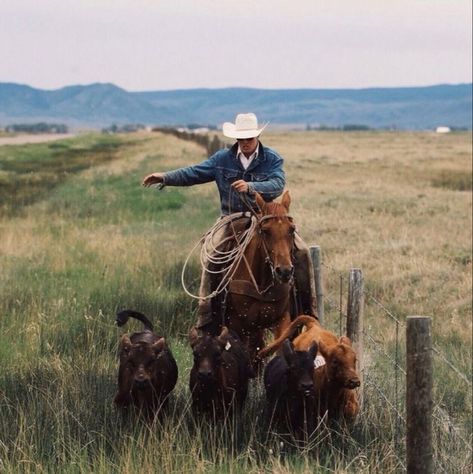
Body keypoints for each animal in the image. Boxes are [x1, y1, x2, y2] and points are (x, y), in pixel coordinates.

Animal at [222, 191, 296, 364]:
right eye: (266, 231)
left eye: (292, 229)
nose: (284, 271)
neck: (261, 286)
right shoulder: (240, 324)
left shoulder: (282, 318)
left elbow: (278, 344)